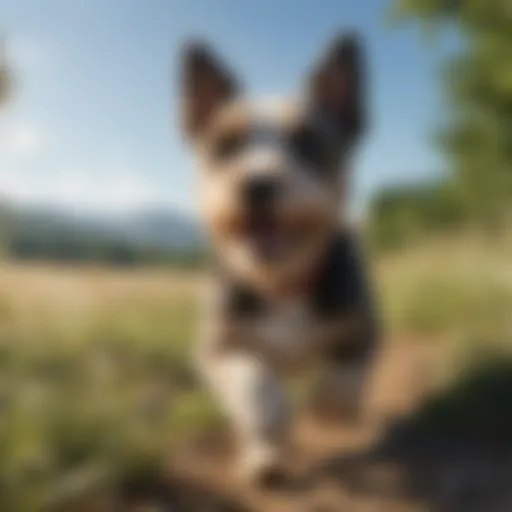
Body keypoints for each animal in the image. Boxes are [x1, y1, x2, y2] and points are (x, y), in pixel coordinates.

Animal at [178, 33, 378, 488]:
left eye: (307, 142)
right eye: (225, 145)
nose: (256, 184)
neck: (280, 282)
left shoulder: (362, 323)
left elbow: (346, 376)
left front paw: (331, 407)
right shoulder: (218, 344)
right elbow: (254, 384)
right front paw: (272, 415)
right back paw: (264, 457)